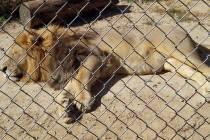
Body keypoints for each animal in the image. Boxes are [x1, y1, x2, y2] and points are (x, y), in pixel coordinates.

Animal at [1, 24, 210, 123]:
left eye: (13, 52)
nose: (2, 69)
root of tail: (179, 28)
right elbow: (68, 87)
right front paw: (64, 109)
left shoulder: (95, 55)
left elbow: (80, 79)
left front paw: (82, 101)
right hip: (173, 63)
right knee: (197, 74)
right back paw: (206, 90)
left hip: (179, 50)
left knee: (205, 68)